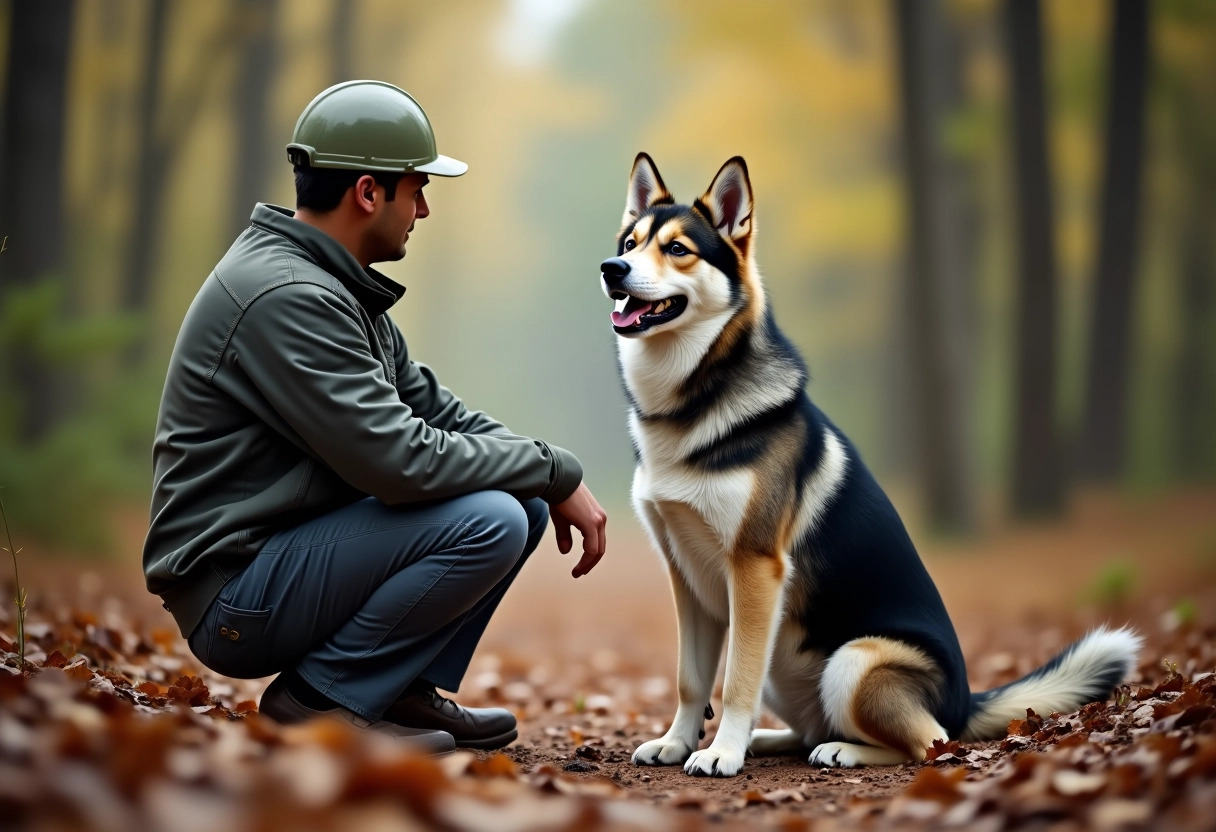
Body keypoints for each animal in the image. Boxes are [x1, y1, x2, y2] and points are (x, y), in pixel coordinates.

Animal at [603, 152, 1143, 778]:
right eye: (631, 242)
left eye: (678, 248)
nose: (611, 268)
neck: (690, 405)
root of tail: (967, 702)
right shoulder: (686, 576)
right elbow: (691, 680)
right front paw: (677, 742)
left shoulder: (755, 569)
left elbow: (735, 681)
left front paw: (721, 753)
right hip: (790, 667)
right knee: (818, 727)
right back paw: (770, 739)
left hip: (854, 660)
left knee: (930, 743)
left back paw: (839, 749)